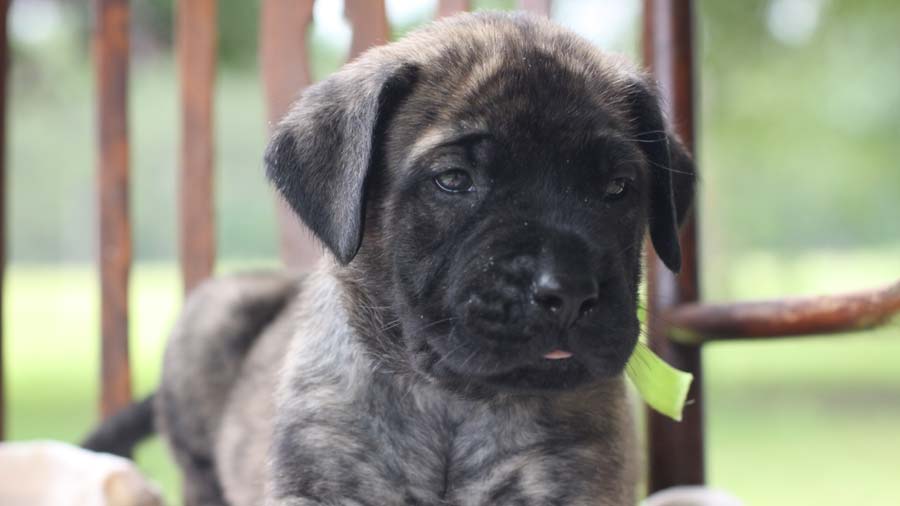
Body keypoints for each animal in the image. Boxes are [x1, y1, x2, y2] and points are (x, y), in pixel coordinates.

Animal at [84, 10, 696, 506]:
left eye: (617, 188)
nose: (566, 290)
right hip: (212, 316)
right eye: (454, 181)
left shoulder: (570, 478)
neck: (453, 406)